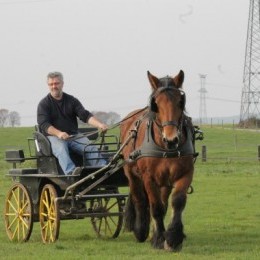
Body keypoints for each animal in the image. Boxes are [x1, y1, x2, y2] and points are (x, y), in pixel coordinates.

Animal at [120, 70, 197, 251]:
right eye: (156, 103)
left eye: (180, 102)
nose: (171, 139)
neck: (165, 148)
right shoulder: (148, 177)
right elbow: (154, 206)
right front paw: (159, 238)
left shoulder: (185, 173)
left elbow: (177, 201)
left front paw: (174, 237)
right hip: (132, 174)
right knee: (140, 199)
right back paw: (141, 230)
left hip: (165, 181)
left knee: (164, 202)